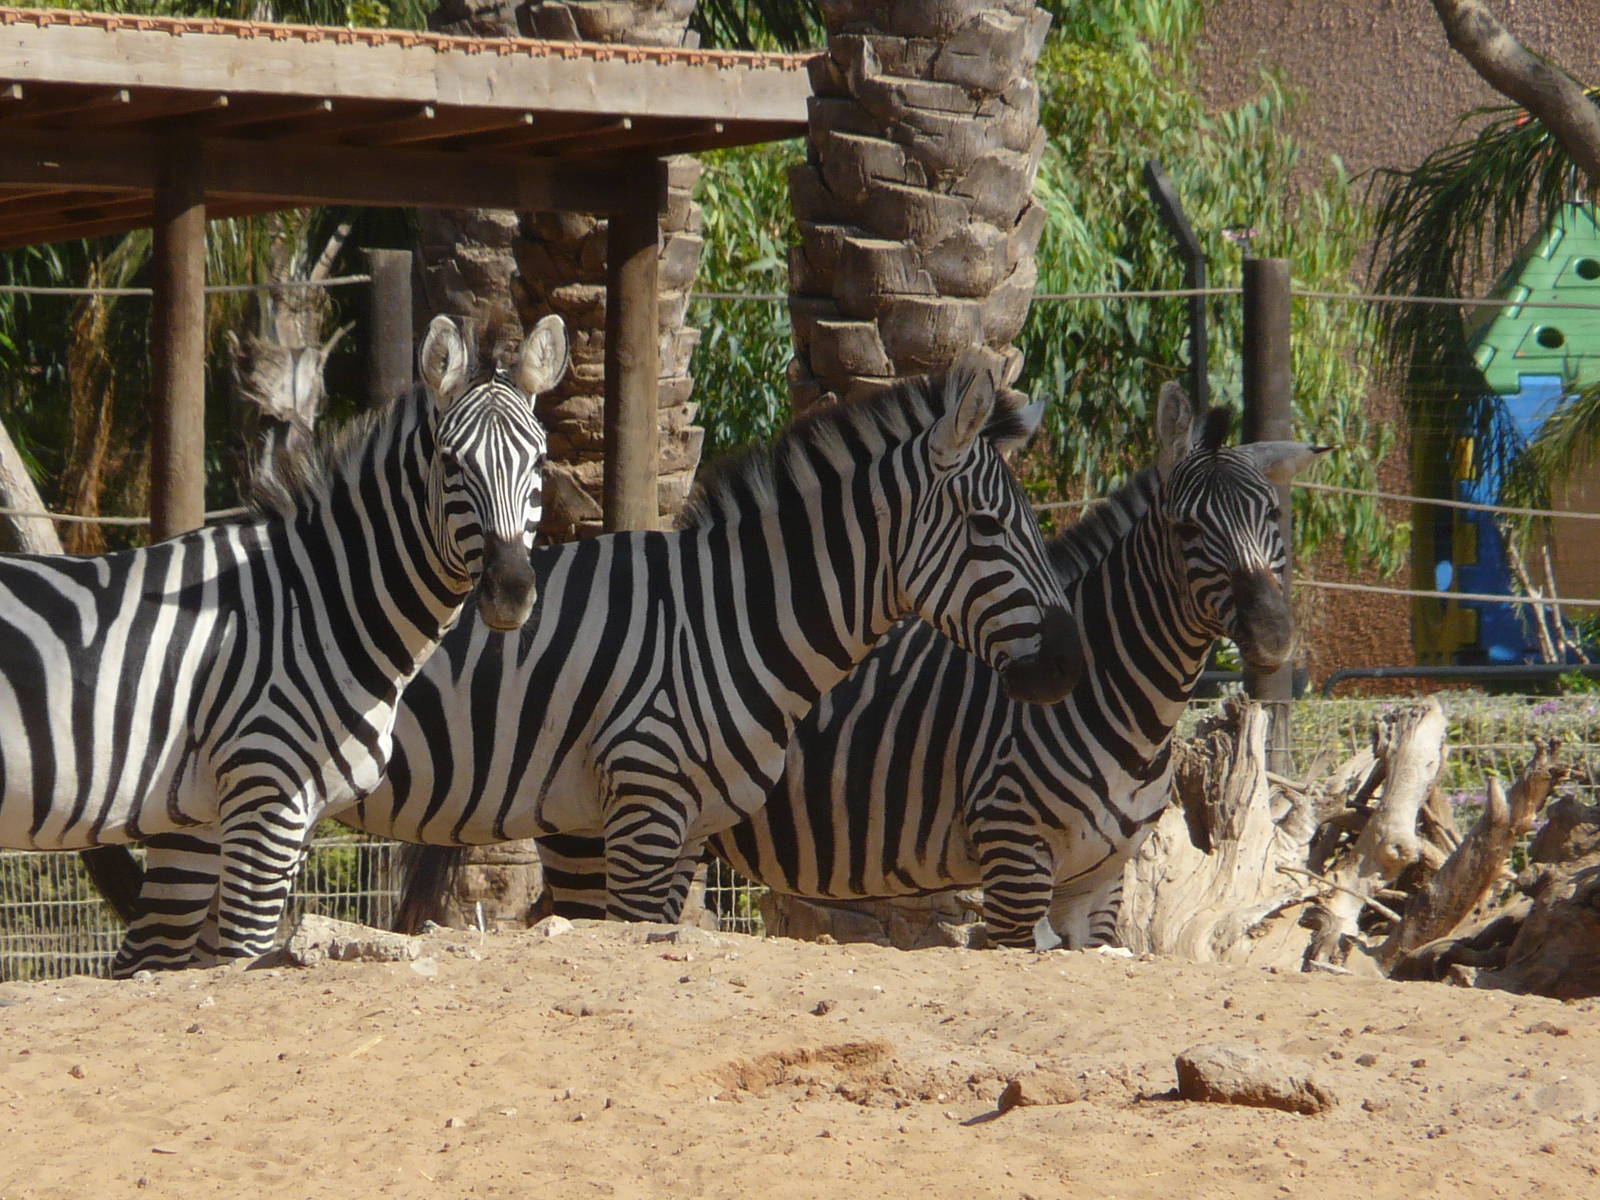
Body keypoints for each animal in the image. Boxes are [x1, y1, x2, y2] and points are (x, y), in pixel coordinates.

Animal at [4, 313, 558, 973]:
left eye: (541, 465)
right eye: (450, 463)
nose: (511, 594)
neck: (316, 604)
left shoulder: (230, 817)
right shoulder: (265, 801)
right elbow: (242, 958)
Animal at [486, 384, 1326, 949]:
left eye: (1274, 524)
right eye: (1188, 530)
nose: (1275, 634)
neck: (1129, 704)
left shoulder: (1099, 884)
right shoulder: (1015, 860)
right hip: (591, 832)